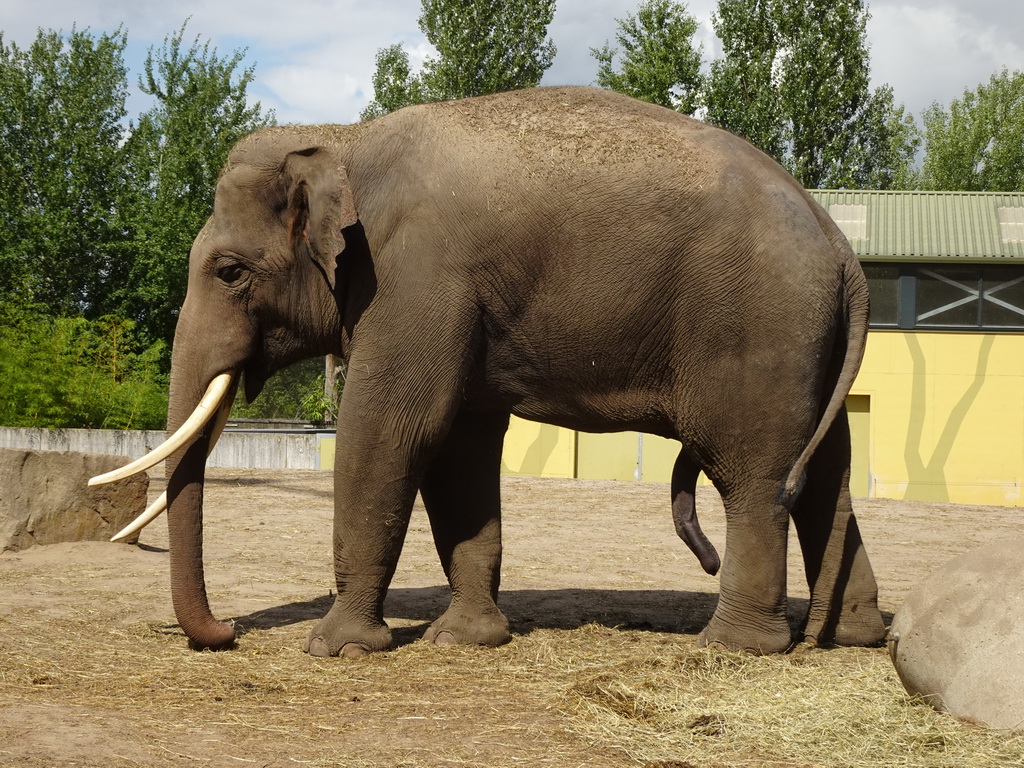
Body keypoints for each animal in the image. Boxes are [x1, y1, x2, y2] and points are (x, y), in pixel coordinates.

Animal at [92, 87, 884, 659]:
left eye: (228, 272)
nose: (225, 632)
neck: (343, 138)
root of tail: (839, 244)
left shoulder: (414, 279)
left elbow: (392, 430)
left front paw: (337, 650)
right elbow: (458, 452)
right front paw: (465, 641)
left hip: (757, 331)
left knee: (753, 475)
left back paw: (732, 647)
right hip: (808, 343)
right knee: (828, 478)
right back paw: (848, 637)